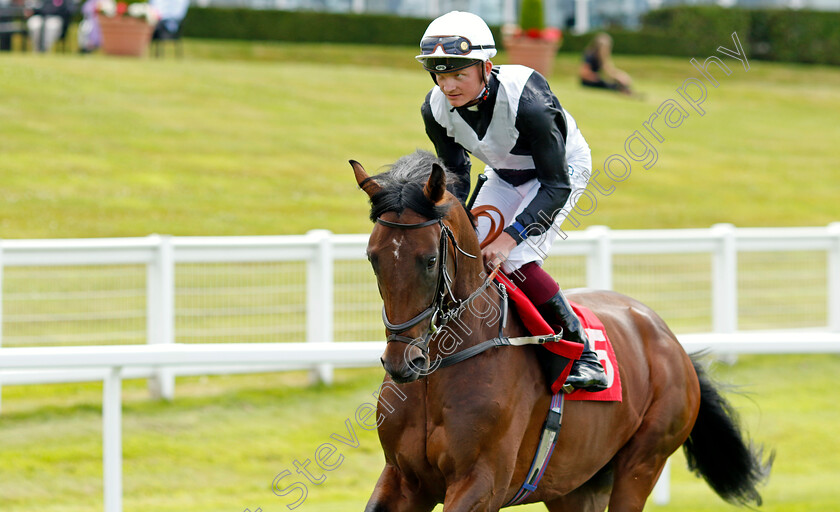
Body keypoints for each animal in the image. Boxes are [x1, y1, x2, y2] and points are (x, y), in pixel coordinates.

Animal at [352, 150, 772, 510]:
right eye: (373, 258)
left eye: (429, 260)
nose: (403, 361)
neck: (438, 372)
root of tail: (670, 340)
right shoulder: (403, 479)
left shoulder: (481, 482)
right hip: (575, 484)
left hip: (643, 462)